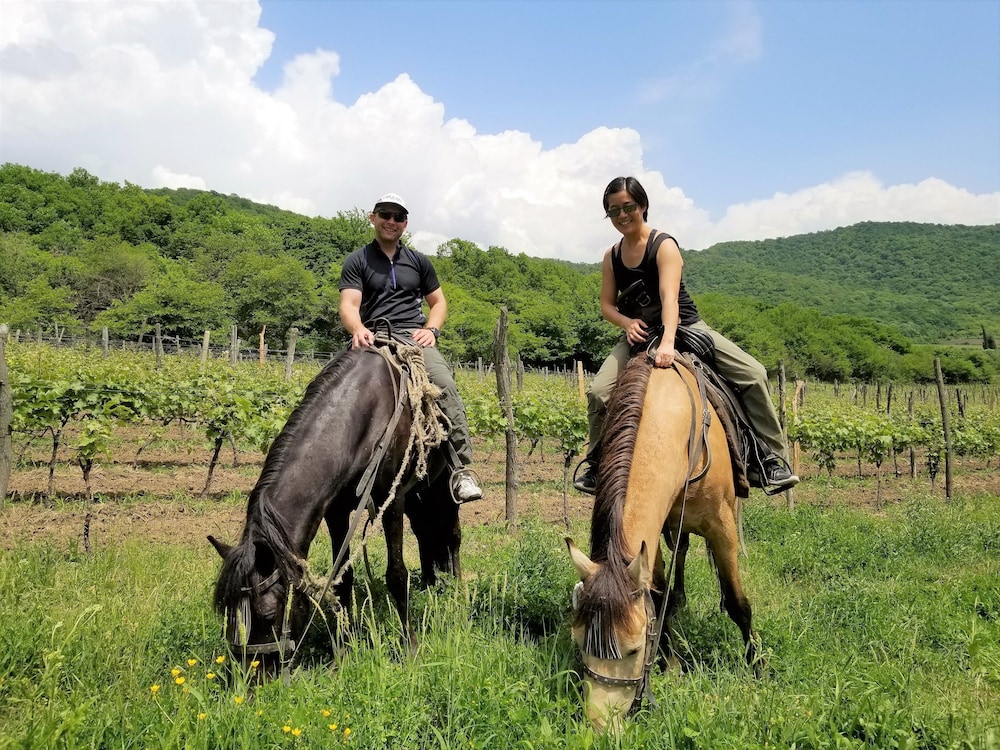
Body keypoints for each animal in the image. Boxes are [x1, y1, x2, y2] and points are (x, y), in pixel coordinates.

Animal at [208, 341, 462, 678]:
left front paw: (410, 650)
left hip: (442, 489)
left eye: (268, 614)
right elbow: (343, 581)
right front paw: (342, 653)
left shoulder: (391, 500)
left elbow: (396, 574)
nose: (253, 678)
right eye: (230, 616)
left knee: (453, 537)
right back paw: (431, 585)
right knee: (425, 535)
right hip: (419, 496)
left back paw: (460, 595)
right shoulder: (336, 511)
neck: (364, 417)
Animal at [566, 354, 759, 731]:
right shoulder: (649, 541)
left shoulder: (722, 526)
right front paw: (670, 665)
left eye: (633, 649)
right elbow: (658, 600)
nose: (600, 727)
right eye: (579, 643)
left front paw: (758, 669)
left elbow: (736, 602)